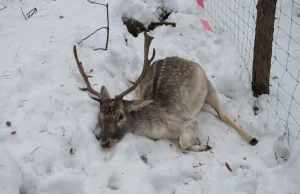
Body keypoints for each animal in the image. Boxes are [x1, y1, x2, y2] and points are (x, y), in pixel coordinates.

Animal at [72, 31, 258, 152]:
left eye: (120, 116)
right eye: (100, 117)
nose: (105, 142)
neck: (161, 130)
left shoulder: (189, 120)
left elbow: (183, 141)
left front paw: (203, 145)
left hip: (209, 86)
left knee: (223, 114)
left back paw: (252, 138)